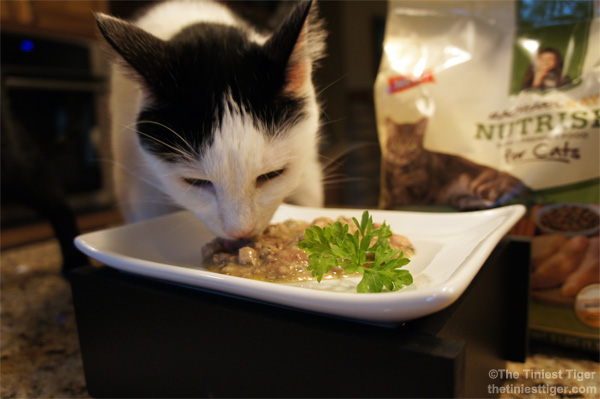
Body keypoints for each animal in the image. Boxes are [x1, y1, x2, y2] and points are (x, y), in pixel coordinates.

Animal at [382, 118, 528, 211]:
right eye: (396, 145)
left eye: (411, 145)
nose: (401, 156)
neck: (399, 169)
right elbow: (391, 191)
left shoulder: (420, 192)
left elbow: (401, 191)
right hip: (461, 197)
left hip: (481, 186)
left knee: (497, 201)